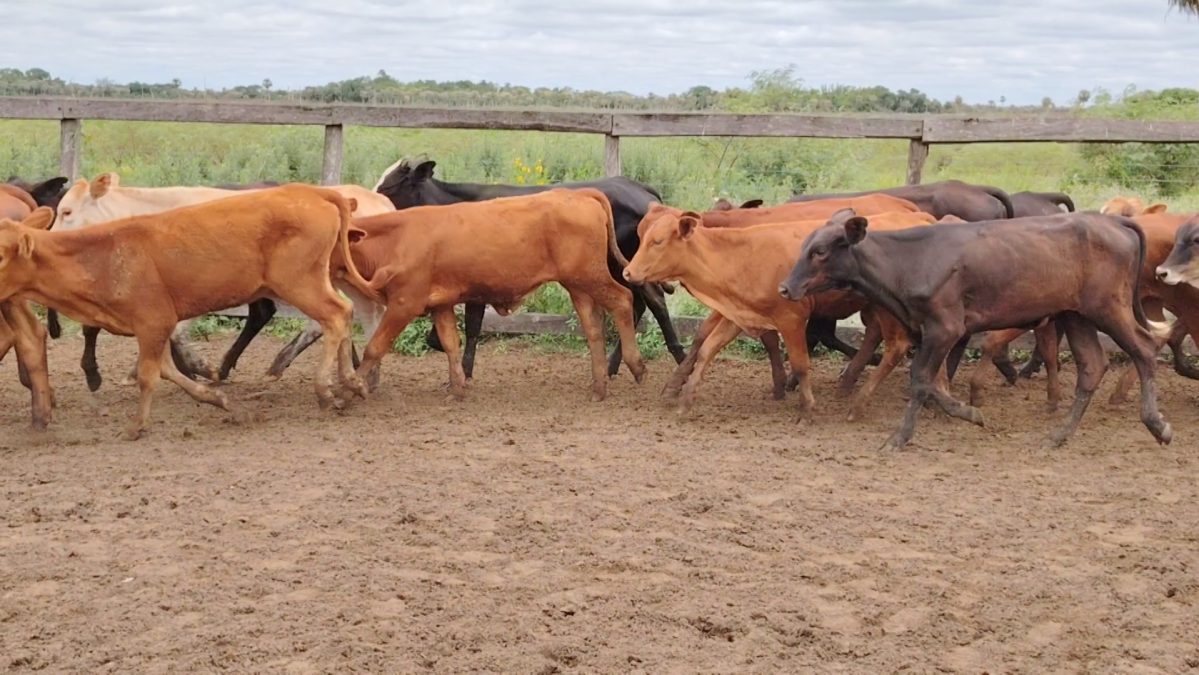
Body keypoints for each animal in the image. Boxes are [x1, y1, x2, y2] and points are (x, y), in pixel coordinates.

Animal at [0, 185, 378, 438]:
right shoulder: (154, 328)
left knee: (334, 316)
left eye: (2, 254)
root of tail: (316, 192)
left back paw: (326, 390)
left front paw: (136, 426)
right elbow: (169, 371)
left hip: (299, 282)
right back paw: (352, 383)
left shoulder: (153, 321)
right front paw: (219, 400)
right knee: (344, 314)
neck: (105, 256)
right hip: (316, 279)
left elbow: (149, 375)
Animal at [345, 187, 647, 405]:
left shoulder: (403, 304)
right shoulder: (440, 305)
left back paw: (635, 366)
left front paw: (350, 389)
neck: (399, 237)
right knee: (594, 328)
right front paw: (457, 389)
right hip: (578, 286)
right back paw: (599, 387)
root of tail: (582, 194)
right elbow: (451, 344)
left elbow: (374, 347)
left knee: (623, 300)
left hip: (591, 278)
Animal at [369, 158, 685, 381]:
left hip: (622, 267)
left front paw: (463, 371)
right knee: (639, 304)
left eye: (388, 186)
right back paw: (613, 366)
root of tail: (639, 188)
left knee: (652, 302)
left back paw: (678, 358)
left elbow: (472, 326)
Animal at [776, 213, 1170, 450]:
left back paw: (1157, 424)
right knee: (1091, 367)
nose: (785, 288)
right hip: (1075, 315)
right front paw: (970, 413)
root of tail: (1115, 220)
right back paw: (1057, 436)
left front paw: (899, 437)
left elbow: (921, 379)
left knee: (1145, 349)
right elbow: (932, 381)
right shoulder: (929, 331)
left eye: (820, 251)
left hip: (1108, 307)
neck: (910, 260)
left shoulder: (945, 328)